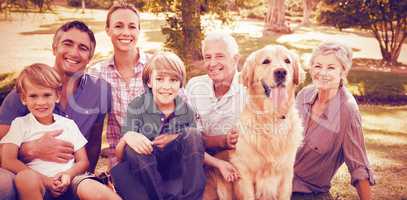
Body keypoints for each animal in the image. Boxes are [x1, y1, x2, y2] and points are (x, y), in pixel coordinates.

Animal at [204, 45, 306, 200]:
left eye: (287, 61)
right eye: (266, 61)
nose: (281, 72)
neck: (271, 118)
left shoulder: (286, 174)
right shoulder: (244, 175)